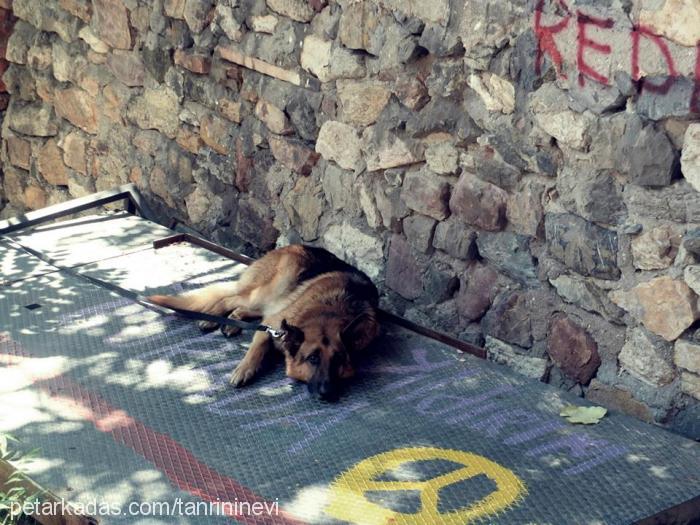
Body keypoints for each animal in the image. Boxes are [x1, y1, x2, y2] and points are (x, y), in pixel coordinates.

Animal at [148, 244, 380, 400]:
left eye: (338, 359)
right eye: (312, 359)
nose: (327, 393)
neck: (327, 310)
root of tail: (291, 246)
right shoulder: (271, 326)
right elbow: (256, 349)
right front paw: (244, 370)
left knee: (243, 308)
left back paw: (231, 321)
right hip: (272, 289)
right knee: (230, 299)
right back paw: (212, 318)